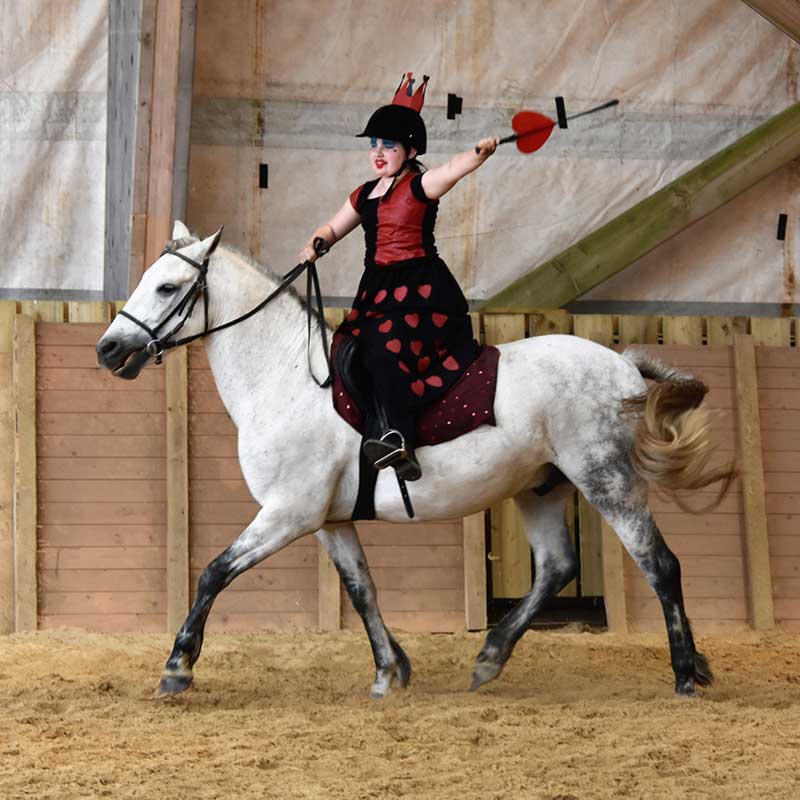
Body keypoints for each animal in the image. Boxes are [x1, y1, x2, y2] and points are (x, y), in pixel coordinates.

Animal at [96, 221, 730, 699]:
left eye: (167, 287)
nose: (108, 349)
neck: (288, 377)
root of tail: (622, 366)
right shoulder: (328, 521)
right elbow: (362, 589)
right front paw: (389, 670)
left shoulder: (287, 515)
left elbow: (214, 572)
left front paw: (178, 666)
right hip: (541, 487)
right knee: (556, 566)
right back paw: (491, 656)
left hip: (607, 481)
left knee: (659, 564)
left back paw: (684, 675)